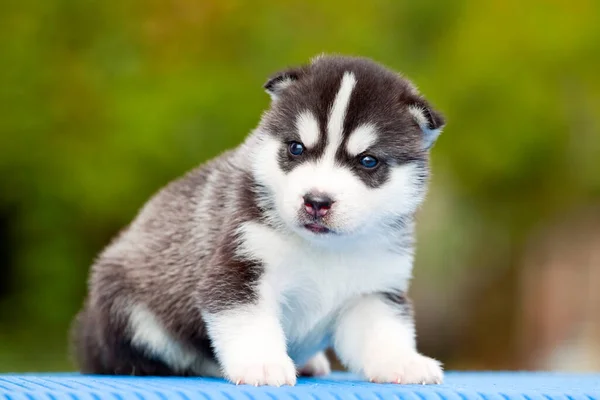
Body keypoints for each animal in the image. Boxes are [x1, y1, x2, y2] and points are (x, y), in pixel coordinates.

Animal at [71, 54, 446, 386]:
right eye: (296, 148)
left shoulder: (373, 292)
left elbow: (383, 333)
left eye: (368, 161)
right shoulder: (239, 271)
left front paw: (404, 362)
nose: (316, 202)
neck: (324, 249)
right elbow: (250, 325)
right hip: (128, 309)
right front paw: (262, 365)